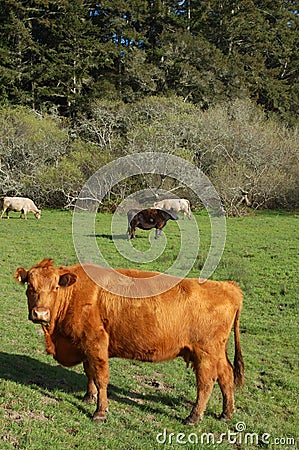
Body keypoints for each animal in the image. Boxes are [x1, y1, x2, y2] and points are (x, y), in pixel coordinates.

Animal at [14, 258, 245, 424]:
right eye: (30, 287)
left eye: (55, 287)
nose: (40, 313)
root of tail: (228, 287)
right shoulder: (85, 345)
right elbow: (89, 372)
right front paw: (89, 396)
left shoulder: (96, 343)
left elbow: (101, 377)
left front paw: (100, 411)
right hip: (216, 352)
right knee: (226, 375)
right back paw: (226, 413)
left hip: (205, 353)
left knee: (206, 383)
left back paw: (193, 417)